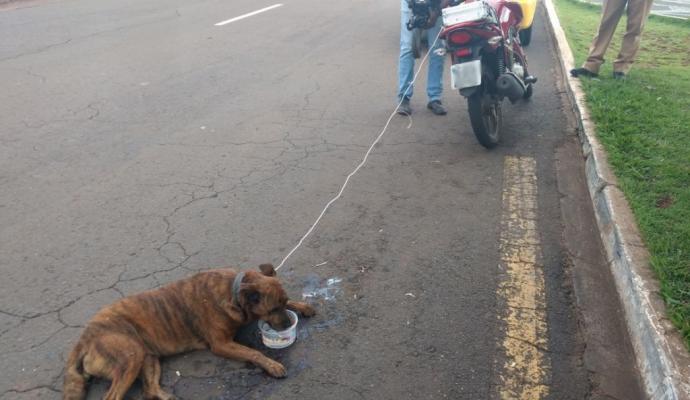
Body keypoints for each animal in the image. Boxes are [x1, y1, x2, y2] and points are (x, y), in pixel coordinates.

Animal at [61, 264, 314, 398]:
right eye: (272, 309)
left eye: (284, 302)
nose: (286, 325)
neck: (234, 292)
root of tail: (83, 339)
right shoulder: (221, 344)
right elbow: (254, 352)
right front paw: (271, 364)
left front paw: (301, 306)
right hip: (129, 356)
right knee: (113, 396)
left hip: (147, 358)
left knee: (150, 389)